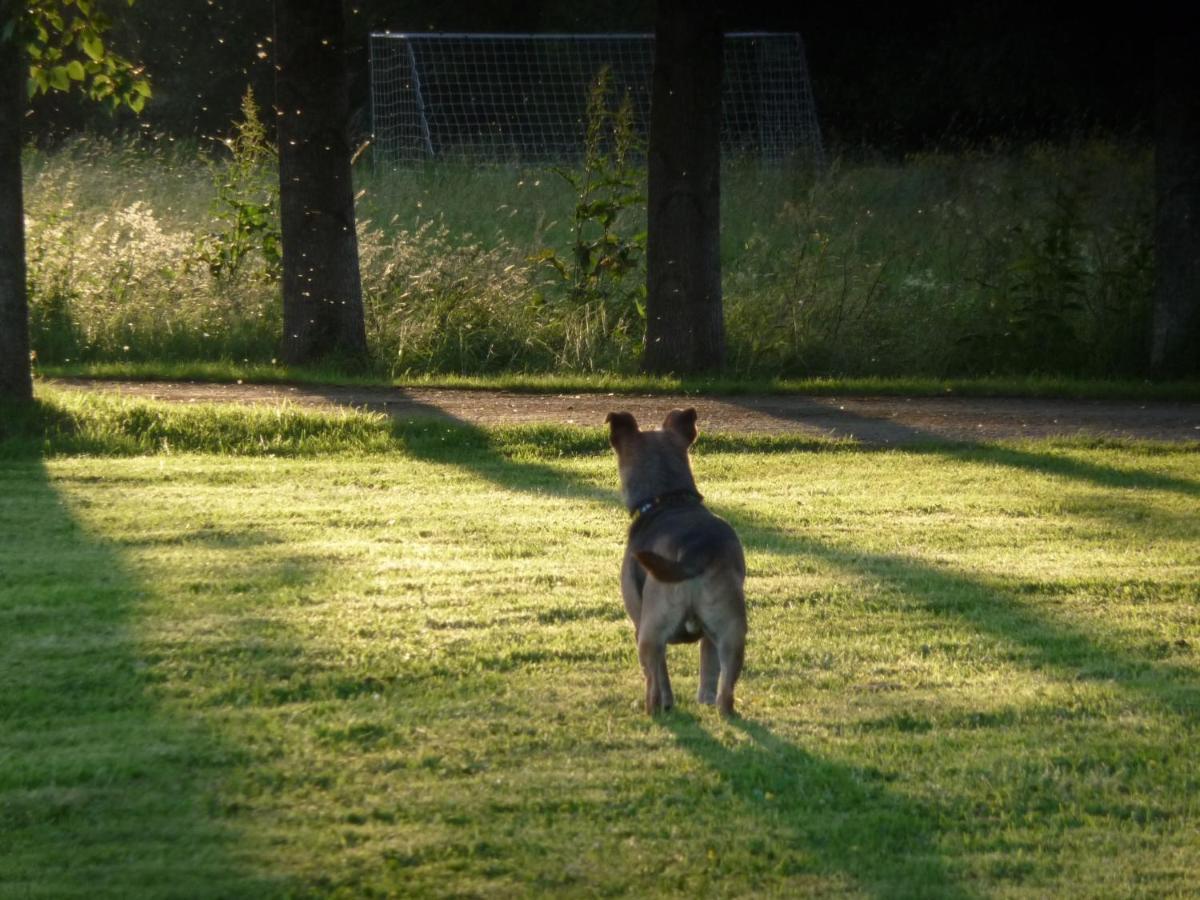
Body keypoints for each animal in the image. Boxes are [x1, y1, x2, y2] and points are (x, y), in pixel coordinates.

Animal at [604, 410, 744, 720]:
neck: (669, 499)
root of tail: (695, 552)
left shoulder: (640, 622)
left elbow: (662, 676)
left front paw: (668, 703)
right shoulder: (710, 638)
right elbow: (707, 670)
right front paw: (702, 699)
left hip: (650, 633)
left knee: (653, 687)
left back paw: (651, 711)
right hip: (732, 632)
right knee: (725, 691)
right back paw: (725, 712)